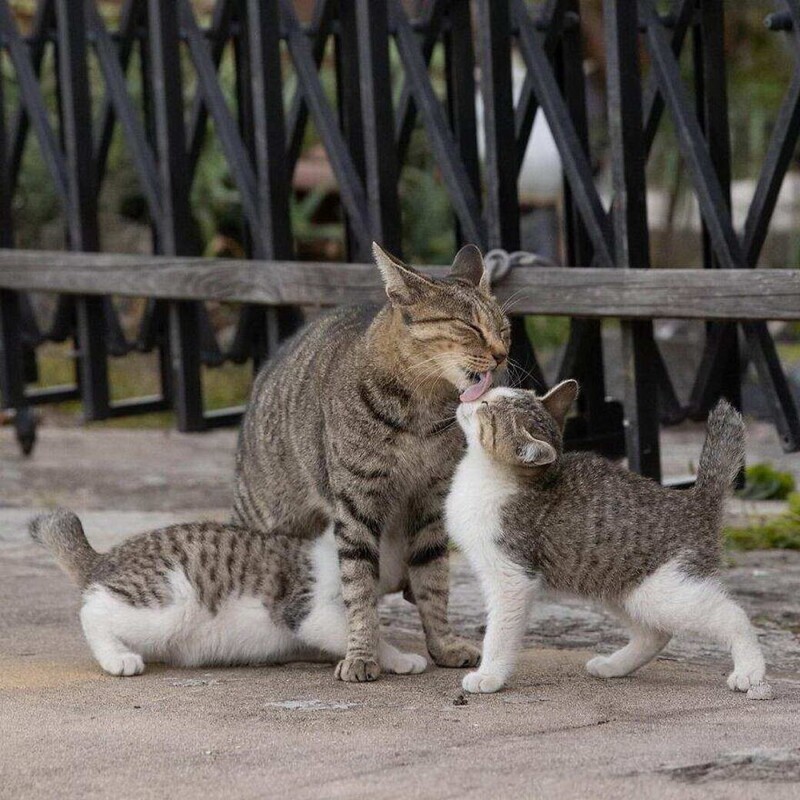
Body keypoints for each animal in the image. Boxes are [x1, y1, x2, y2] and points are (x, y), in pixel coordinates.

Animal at [29, 510, 432, 680]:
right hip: (170, 602)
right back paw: (117, 657)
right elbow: (365, 633)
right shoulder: (308, 609)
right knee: (93, 611)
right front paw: (398, 658)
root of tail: (106, 557)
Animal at [228, 244, 510, 680]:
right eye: (470, 327)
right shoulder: (356, 504)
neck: (423, 413)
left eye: (505, 328)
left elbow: (434, 581)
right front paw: (362, 654)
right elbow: (358, 585)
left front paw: (443, 644)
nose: (502, 355)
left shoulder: (431, 504)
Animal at [446, 384, 772, 696]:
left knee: (732, 616)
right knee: (655, 633)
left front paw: (489, 675)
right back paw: (614, 666)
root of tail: (694, 501)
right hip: (616, 584)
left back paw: (749, 671)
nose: (466, 397)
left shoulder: (513, 577)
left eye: (487, 406)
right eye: (491, 392)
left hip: (665, 592)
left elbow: (499, 633)